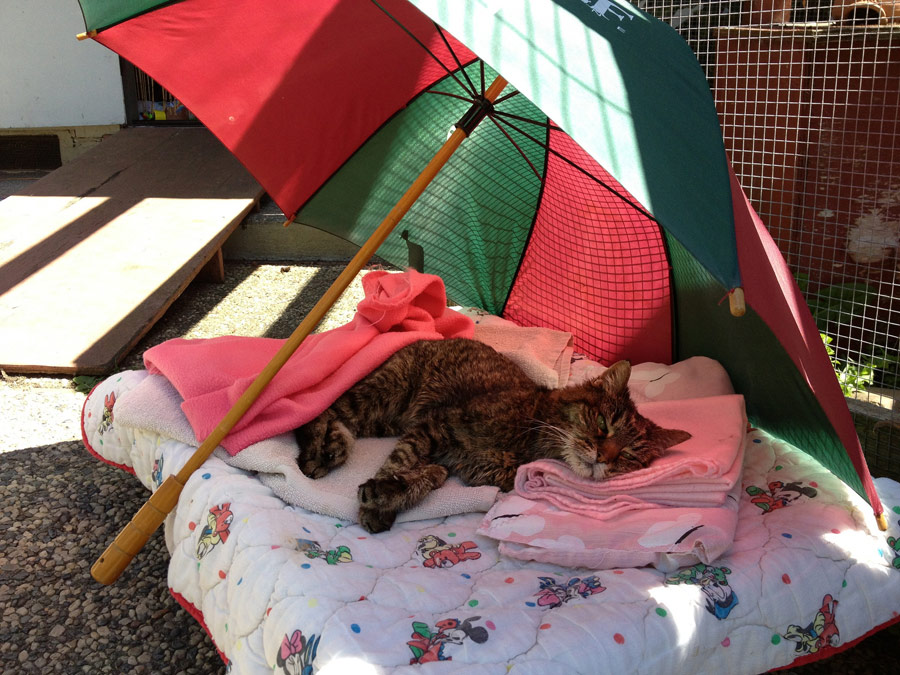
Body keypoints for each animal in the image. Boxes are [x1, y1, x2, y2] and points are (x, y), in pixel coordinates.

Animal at [296, 338, 688, 532]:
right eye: (603, 424)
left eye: (628, 456)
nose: (604, 457)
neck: (533, 441)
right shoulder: (437, 426)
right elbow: (400, 460)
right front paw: (378, 500)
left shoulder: (459, 462)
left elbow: (429, 474)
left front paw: (389, 495)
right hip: (382, 396)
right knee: (322, 408)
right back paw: (317, 452)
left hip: (385, 420)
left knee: (338, 417)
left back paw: (334, 447)